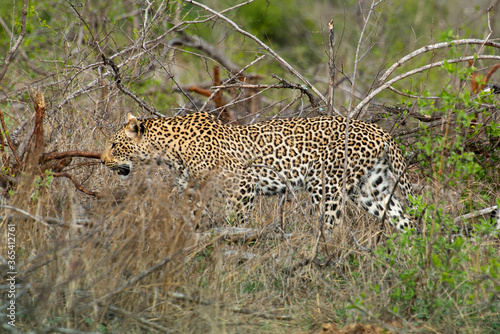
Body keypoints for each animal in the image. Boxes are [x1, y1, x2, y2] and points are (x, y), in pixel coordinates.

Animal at [100, 111, 414, 230]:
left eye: (114, 145)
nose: (102, 161)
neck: (169, 150)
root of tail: (381, 131)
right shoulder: (193, 190)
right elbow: (189, 218)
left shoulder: (242, 185)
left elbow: (236, 221)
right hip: (371, 189)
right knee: (405, 221)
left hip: (326, 185)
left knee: (332, 226)